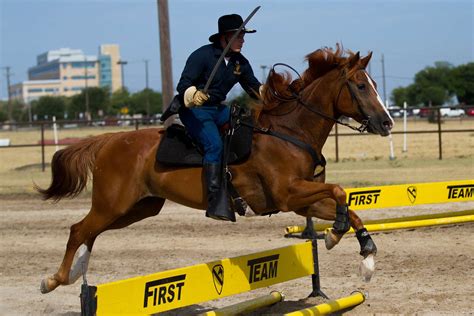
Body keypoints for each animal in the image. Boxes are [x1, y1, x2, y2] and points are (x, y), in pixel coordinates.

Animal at [39, 46, 392, 294]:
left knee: (89, 231)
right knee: (78, 230)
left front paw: (365, 254)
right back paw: (55, 279)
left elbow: (345, 205)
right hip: (112, 203)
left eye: (375, 83)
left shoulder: (301, 201)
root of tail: (108, 140)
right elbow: (339, 192)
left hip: (138, 208)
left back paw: (74, 272)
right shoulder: (289, 195)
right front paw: (336, 234)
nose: (387, 122)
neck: (289, 131)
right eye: (361, 86)